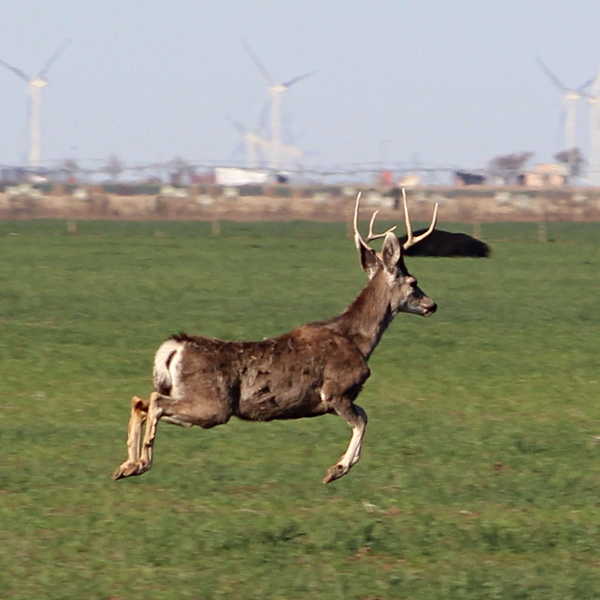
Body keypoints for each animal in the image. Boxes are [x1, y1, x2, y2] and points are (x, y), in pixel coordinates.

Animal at [112, 192, 439, 484]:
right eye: (414, 282)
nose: (431, 305)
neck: (358, 340)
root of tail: (173, 347)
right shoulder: (336, 391)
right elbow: (362, 421)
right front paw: (336, 470)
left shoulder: (335, 400)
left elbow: (365, 416)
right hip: (212, 404)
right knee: (154, 402)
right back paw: (140, 463)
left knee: (140, 401)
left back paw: (125, 466)